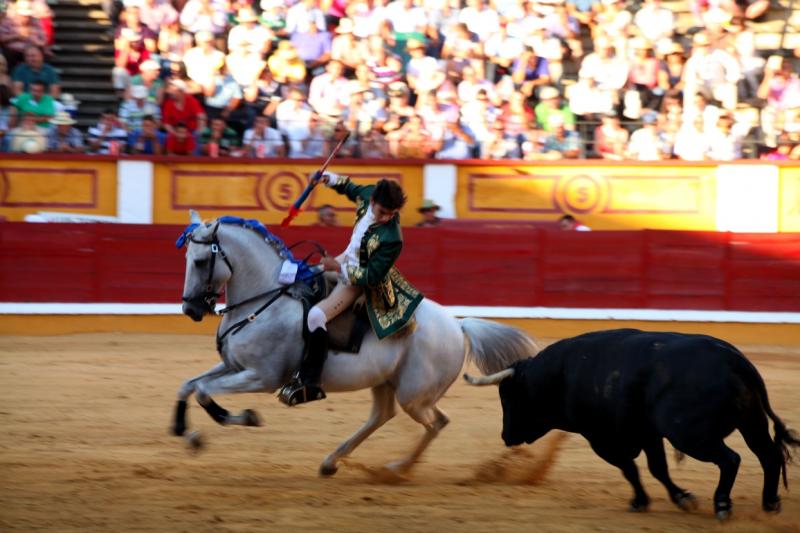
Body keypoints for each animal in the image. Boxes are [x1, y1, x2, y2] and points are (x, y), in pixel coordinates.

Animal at [174, 210, 536, 476]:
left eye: (202, 261)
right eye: (187, 257)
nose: (190, 309)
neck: (265, 299)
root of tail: (458, 326)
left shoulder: (263, 377)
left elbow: (204, 391)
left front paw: (244, 419)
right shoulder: (233, 365)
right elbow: (189, 384)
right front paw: (184, 432)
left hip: (413, 394)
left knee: (434, 422)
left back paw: (397, 469)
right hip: (388, 383)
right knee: (385, 416)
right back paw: (333, 462)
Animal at [466, 328, 796, 520]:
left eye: (508, 396)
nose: (506, 436)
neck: (560, 374)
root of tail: (734, 359)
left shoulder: (599, 437)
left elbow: (629, 469)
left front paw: (642, 501)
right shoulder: (648, 433)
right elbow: (657, 468)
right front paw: (681, 498)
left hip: (691, 435)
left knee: (731, 459)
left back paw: (723, 505)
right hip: (751, 421)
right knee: (768, 455)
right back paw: (770, 503)